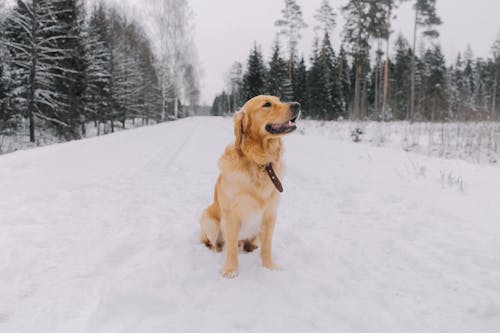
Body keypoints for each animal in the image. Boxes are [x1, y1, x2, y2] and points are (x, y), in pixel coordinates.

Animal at [200, 95, 300, 278]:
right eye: (267, 104)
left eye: (279, 100)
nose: (297, 104)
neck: (259, 163)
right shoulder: (231, 215)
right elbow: (231, 247)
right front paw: (230, 269)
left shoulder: (270, 215)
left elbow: (267, 247)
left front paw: (269, 267)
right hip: (209, 220)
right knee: (214, 243)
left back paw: (251, 248)